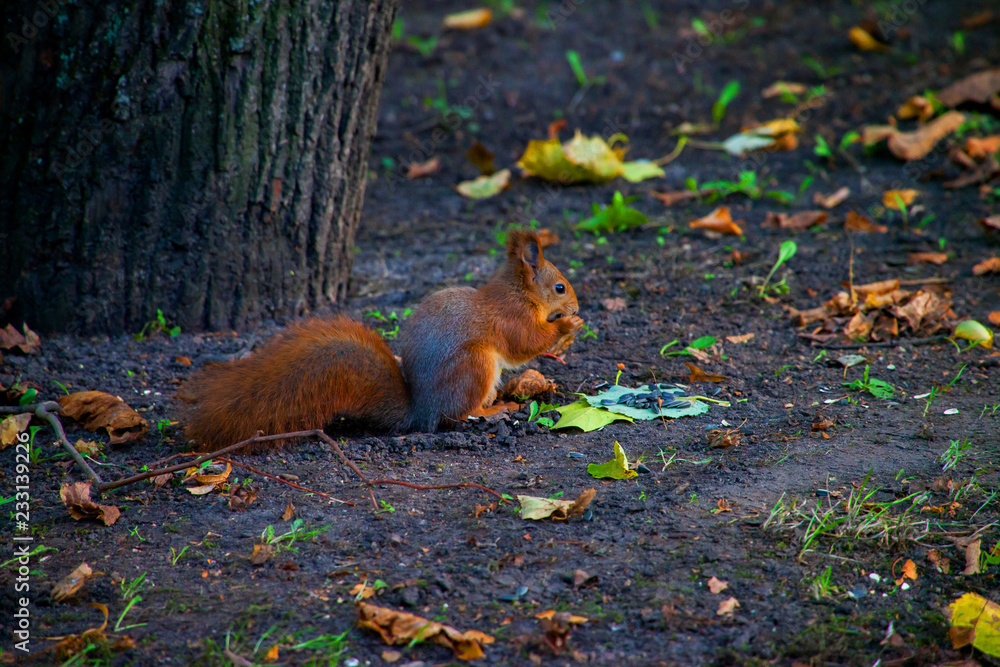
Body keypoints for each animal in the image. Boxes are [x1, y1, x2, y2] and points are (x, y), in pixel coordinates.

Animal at [181, 230, 582, 448]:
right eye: (560, 287)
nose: (577, 305)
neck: (519, 292)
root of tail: (421, 410)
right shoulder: (511, 318)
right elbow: (525, 342)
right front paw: (567, 326)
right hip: (474, 365)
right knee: (456, 415)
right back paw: (495, 409)